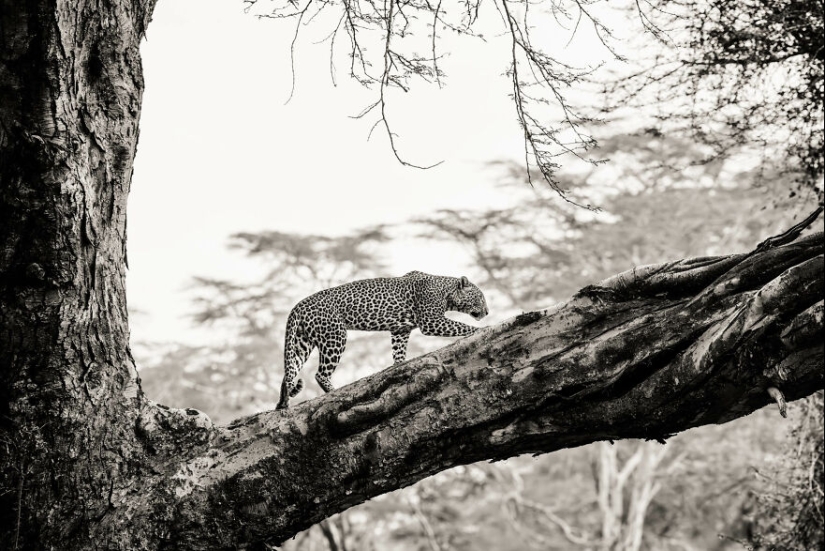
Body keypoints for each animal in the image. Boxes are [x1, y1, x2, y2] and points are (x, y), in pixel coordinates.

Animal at [274, 272, 486, 410]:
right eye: (481, 298)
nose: (487, 311)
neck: (446, 291)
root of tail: (298, 306)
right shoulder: (431, 321)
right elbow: (461, 326)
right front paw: (483, 329)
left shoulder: (400, 330)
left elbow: (399, 352)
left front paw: (399, 366)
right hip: (335, 336)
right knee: (320, 374)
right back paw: (334, 392)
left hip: (301, 343)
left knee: (289, 372)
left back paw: (283, 402)